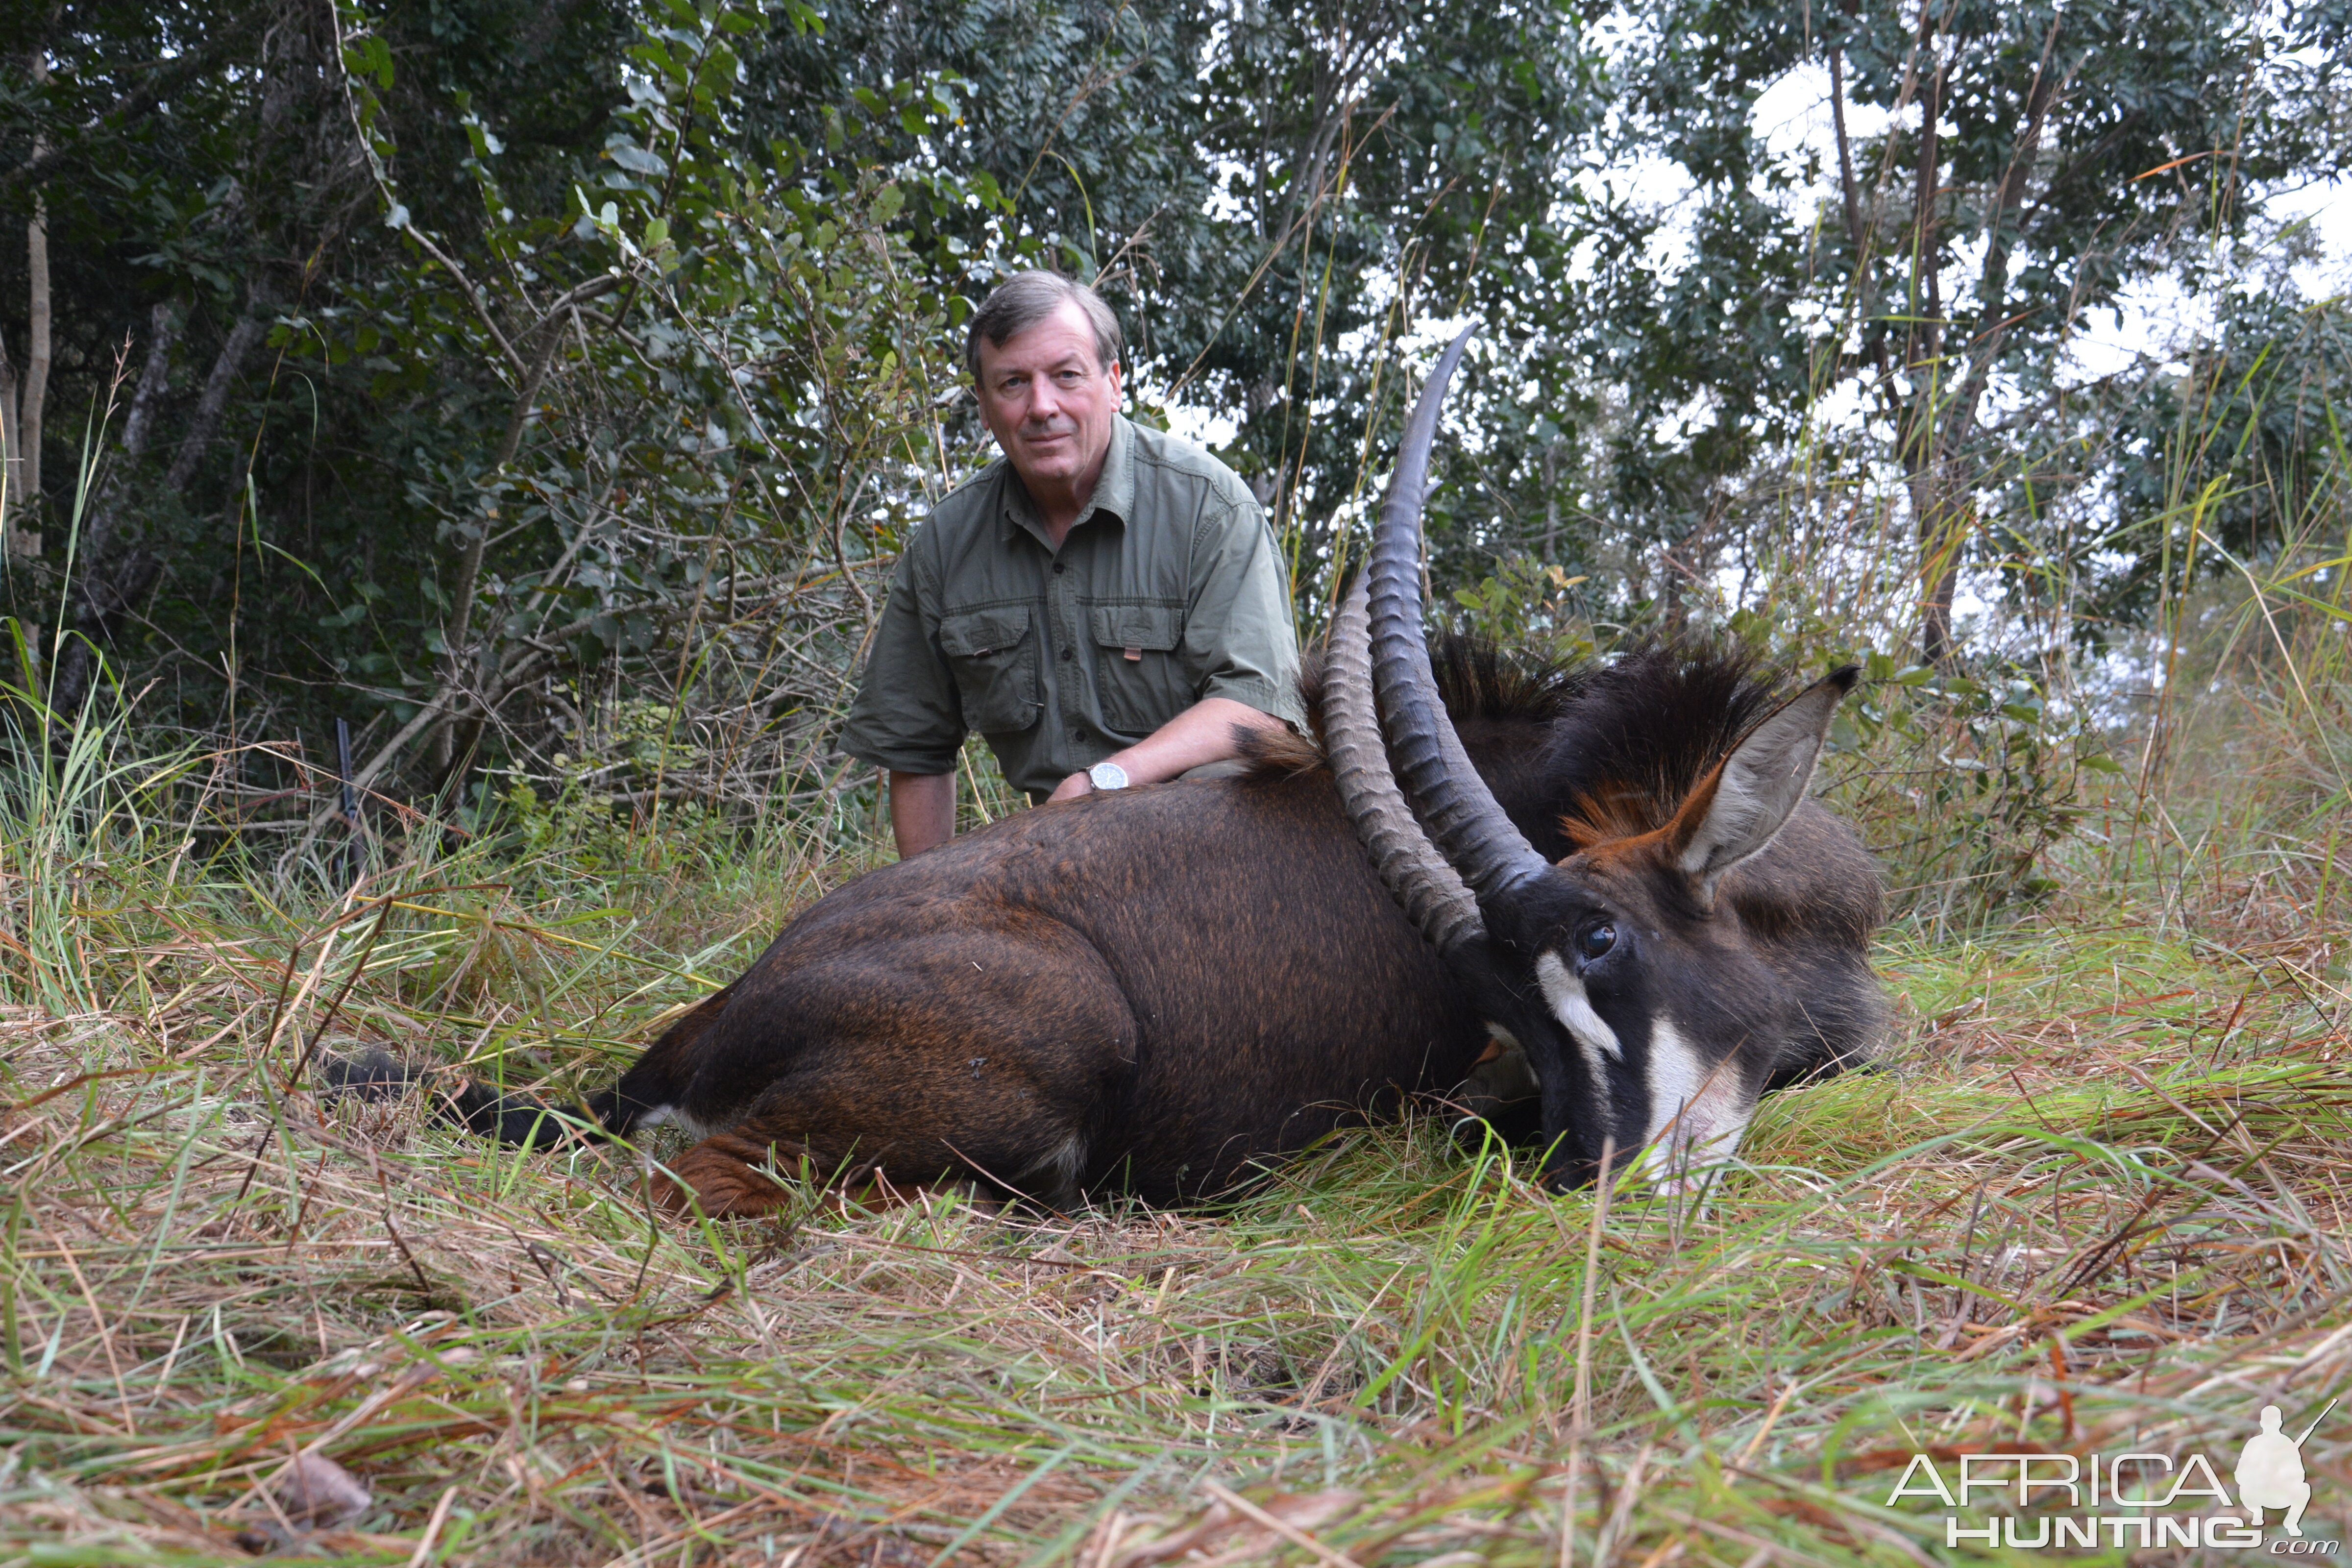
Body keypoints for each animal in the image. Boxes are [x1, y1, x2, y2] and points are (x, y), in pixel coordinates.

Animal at [400, 331, 1872, 1213]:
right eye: (1515, 1000)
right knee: (693, 1182)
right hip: (1039, 1048)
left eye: (1602, 944)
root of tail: (706, 1025)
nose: (1597, 1185)